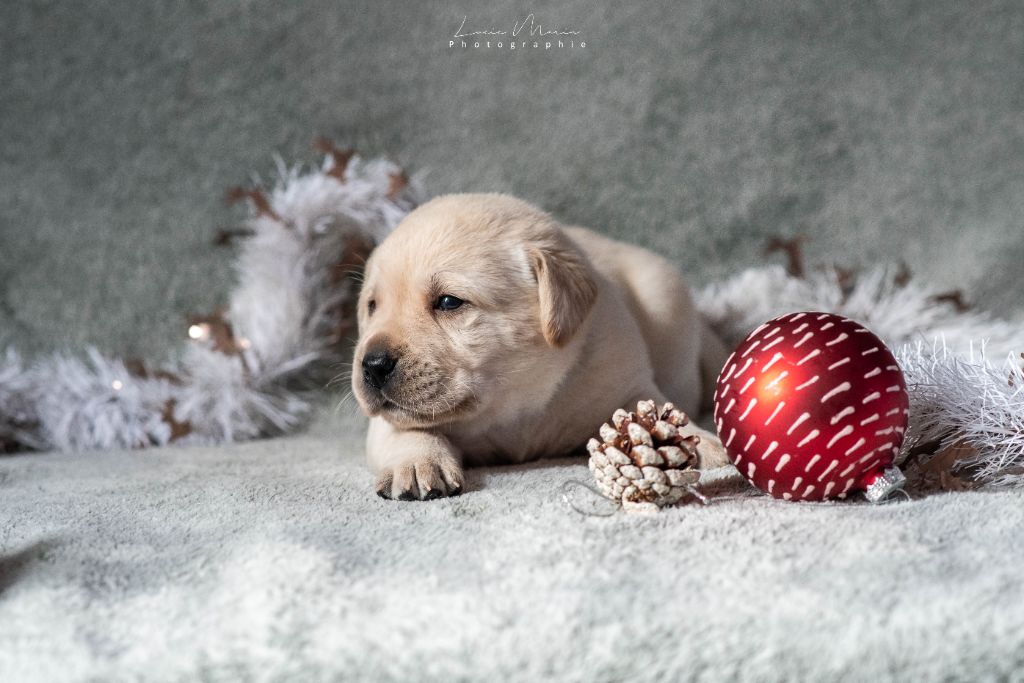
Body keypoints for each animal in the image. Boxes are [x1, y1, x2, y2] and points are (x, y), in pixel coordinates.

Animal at [351, 193, 730, 500]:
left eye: (448, 302)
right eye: (372, 306)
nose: (372, 364)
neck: (515, 408)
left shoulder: (625, 378)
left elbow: (653, 408)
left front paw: (696, 440)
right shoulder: (387, 421)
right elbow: (404, 426)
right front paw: (418, 462)